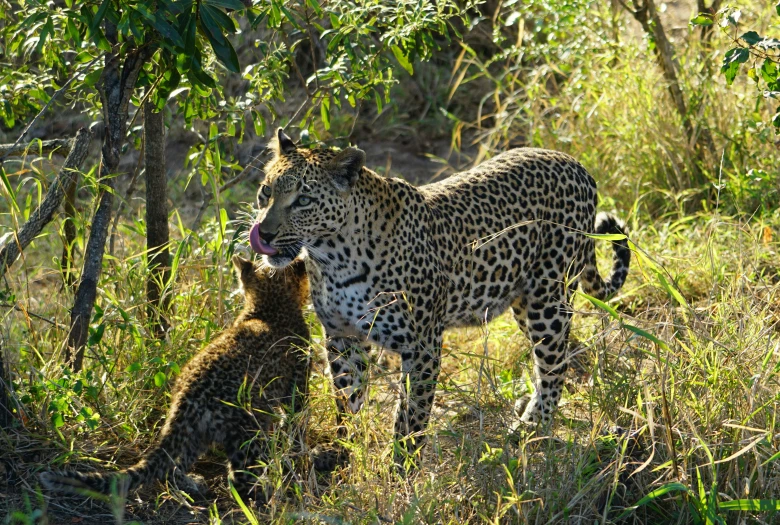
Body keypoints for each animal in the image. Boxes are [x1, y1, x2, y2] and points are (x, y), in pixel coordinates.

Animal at [251, 129, 632, 464]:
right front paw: (346, 451)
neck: (333, 257)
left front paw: (401, 470)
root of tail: (575, 163)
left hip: (549, 300)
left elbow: (410, 418)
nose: (264, 235)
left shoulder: (422, 346)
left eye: (303, 201)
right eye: (265, 192)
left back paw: (532, 427)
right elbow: (347, 402)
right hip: (523, 303)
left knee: (556, 363)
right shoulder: (342, 338)